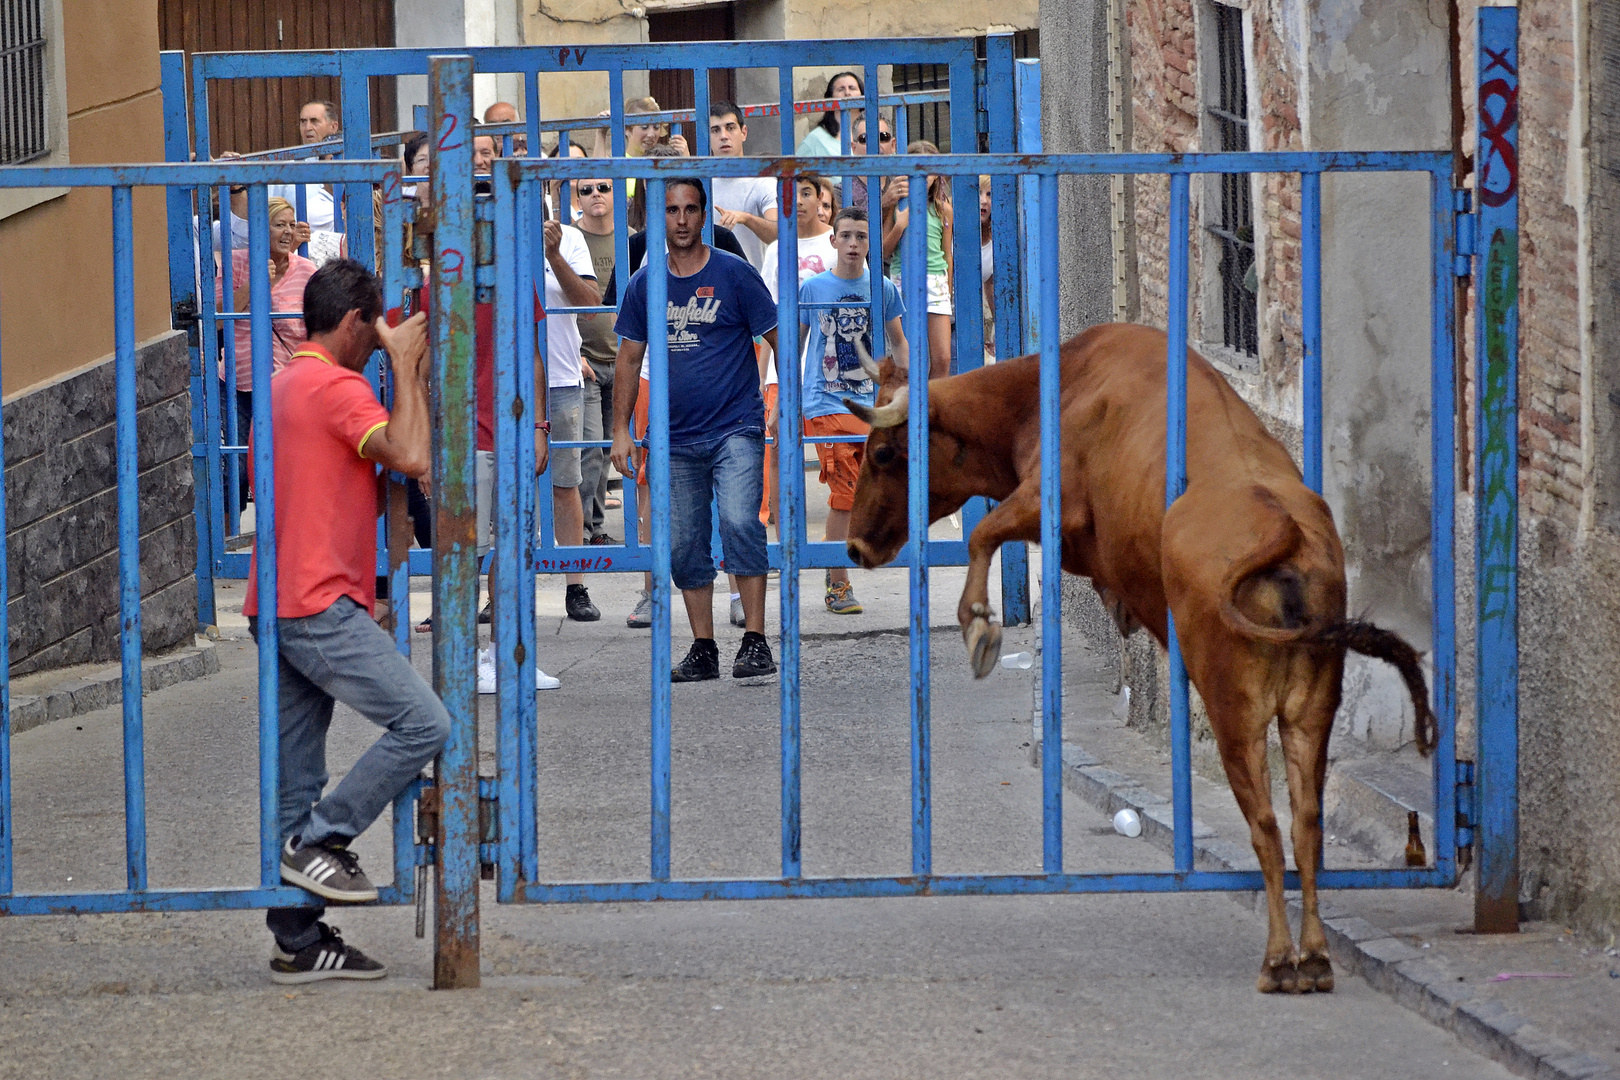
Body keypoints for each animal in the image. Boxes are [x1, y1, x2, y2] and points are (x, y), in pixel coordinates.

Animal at [842, 323, 1438, 997]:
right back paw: (1313, 957)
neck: (1059, 386)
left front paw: (979, 630)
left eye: (882, 454)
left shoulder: (1049, 499)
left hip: (1235, 713)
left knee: (1265, 824)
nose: (855, 546)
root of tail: (1282, 531)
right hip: (1310, 712)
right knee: (1306, 823)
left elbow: (983, 533)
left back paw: (1279, 960)